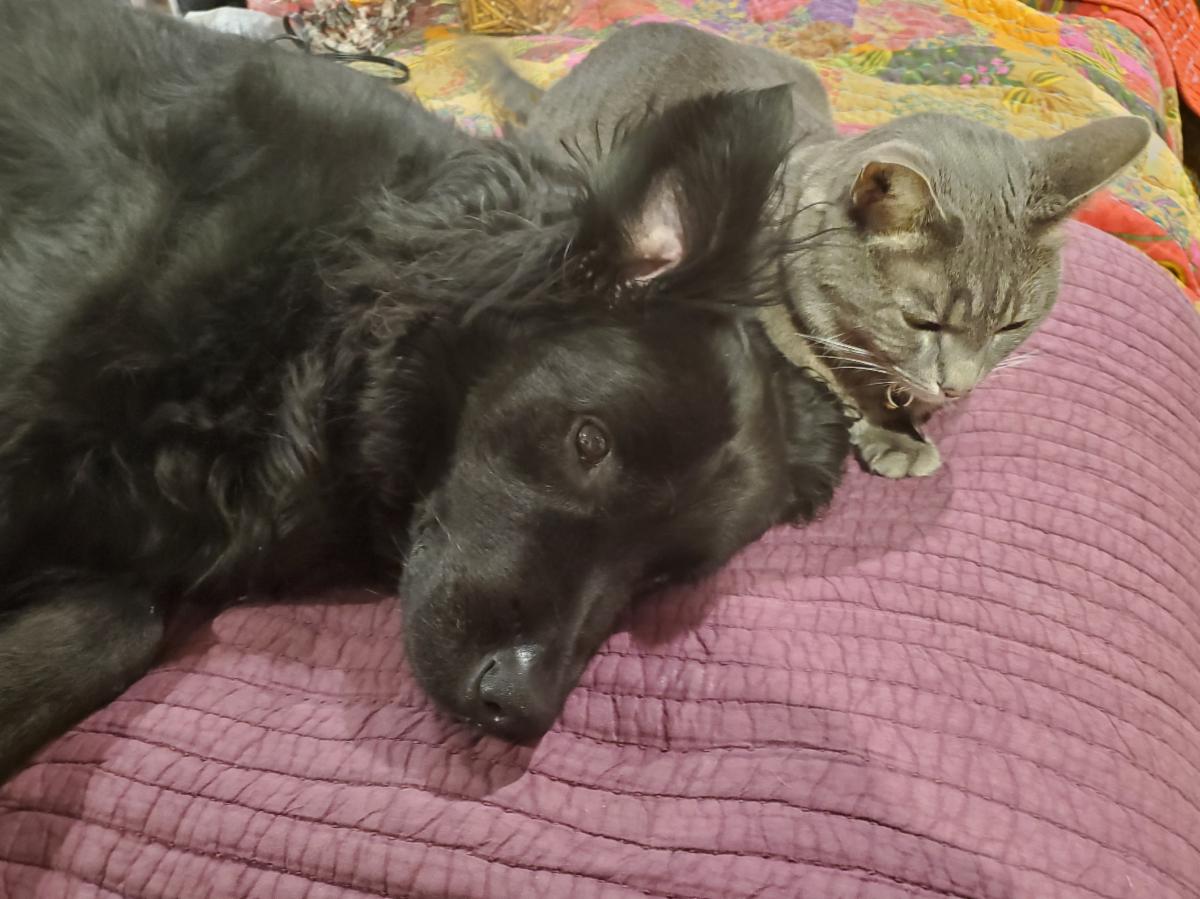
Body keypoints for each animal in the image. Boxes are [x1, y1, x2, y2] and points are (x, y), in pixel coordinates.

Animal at [470, 22, 1152, 477]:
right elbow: (828, 364)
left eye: (1013, 325)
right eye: (922, 321)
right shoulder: (761, 310)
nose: (958, 389)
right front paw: (893, 431)